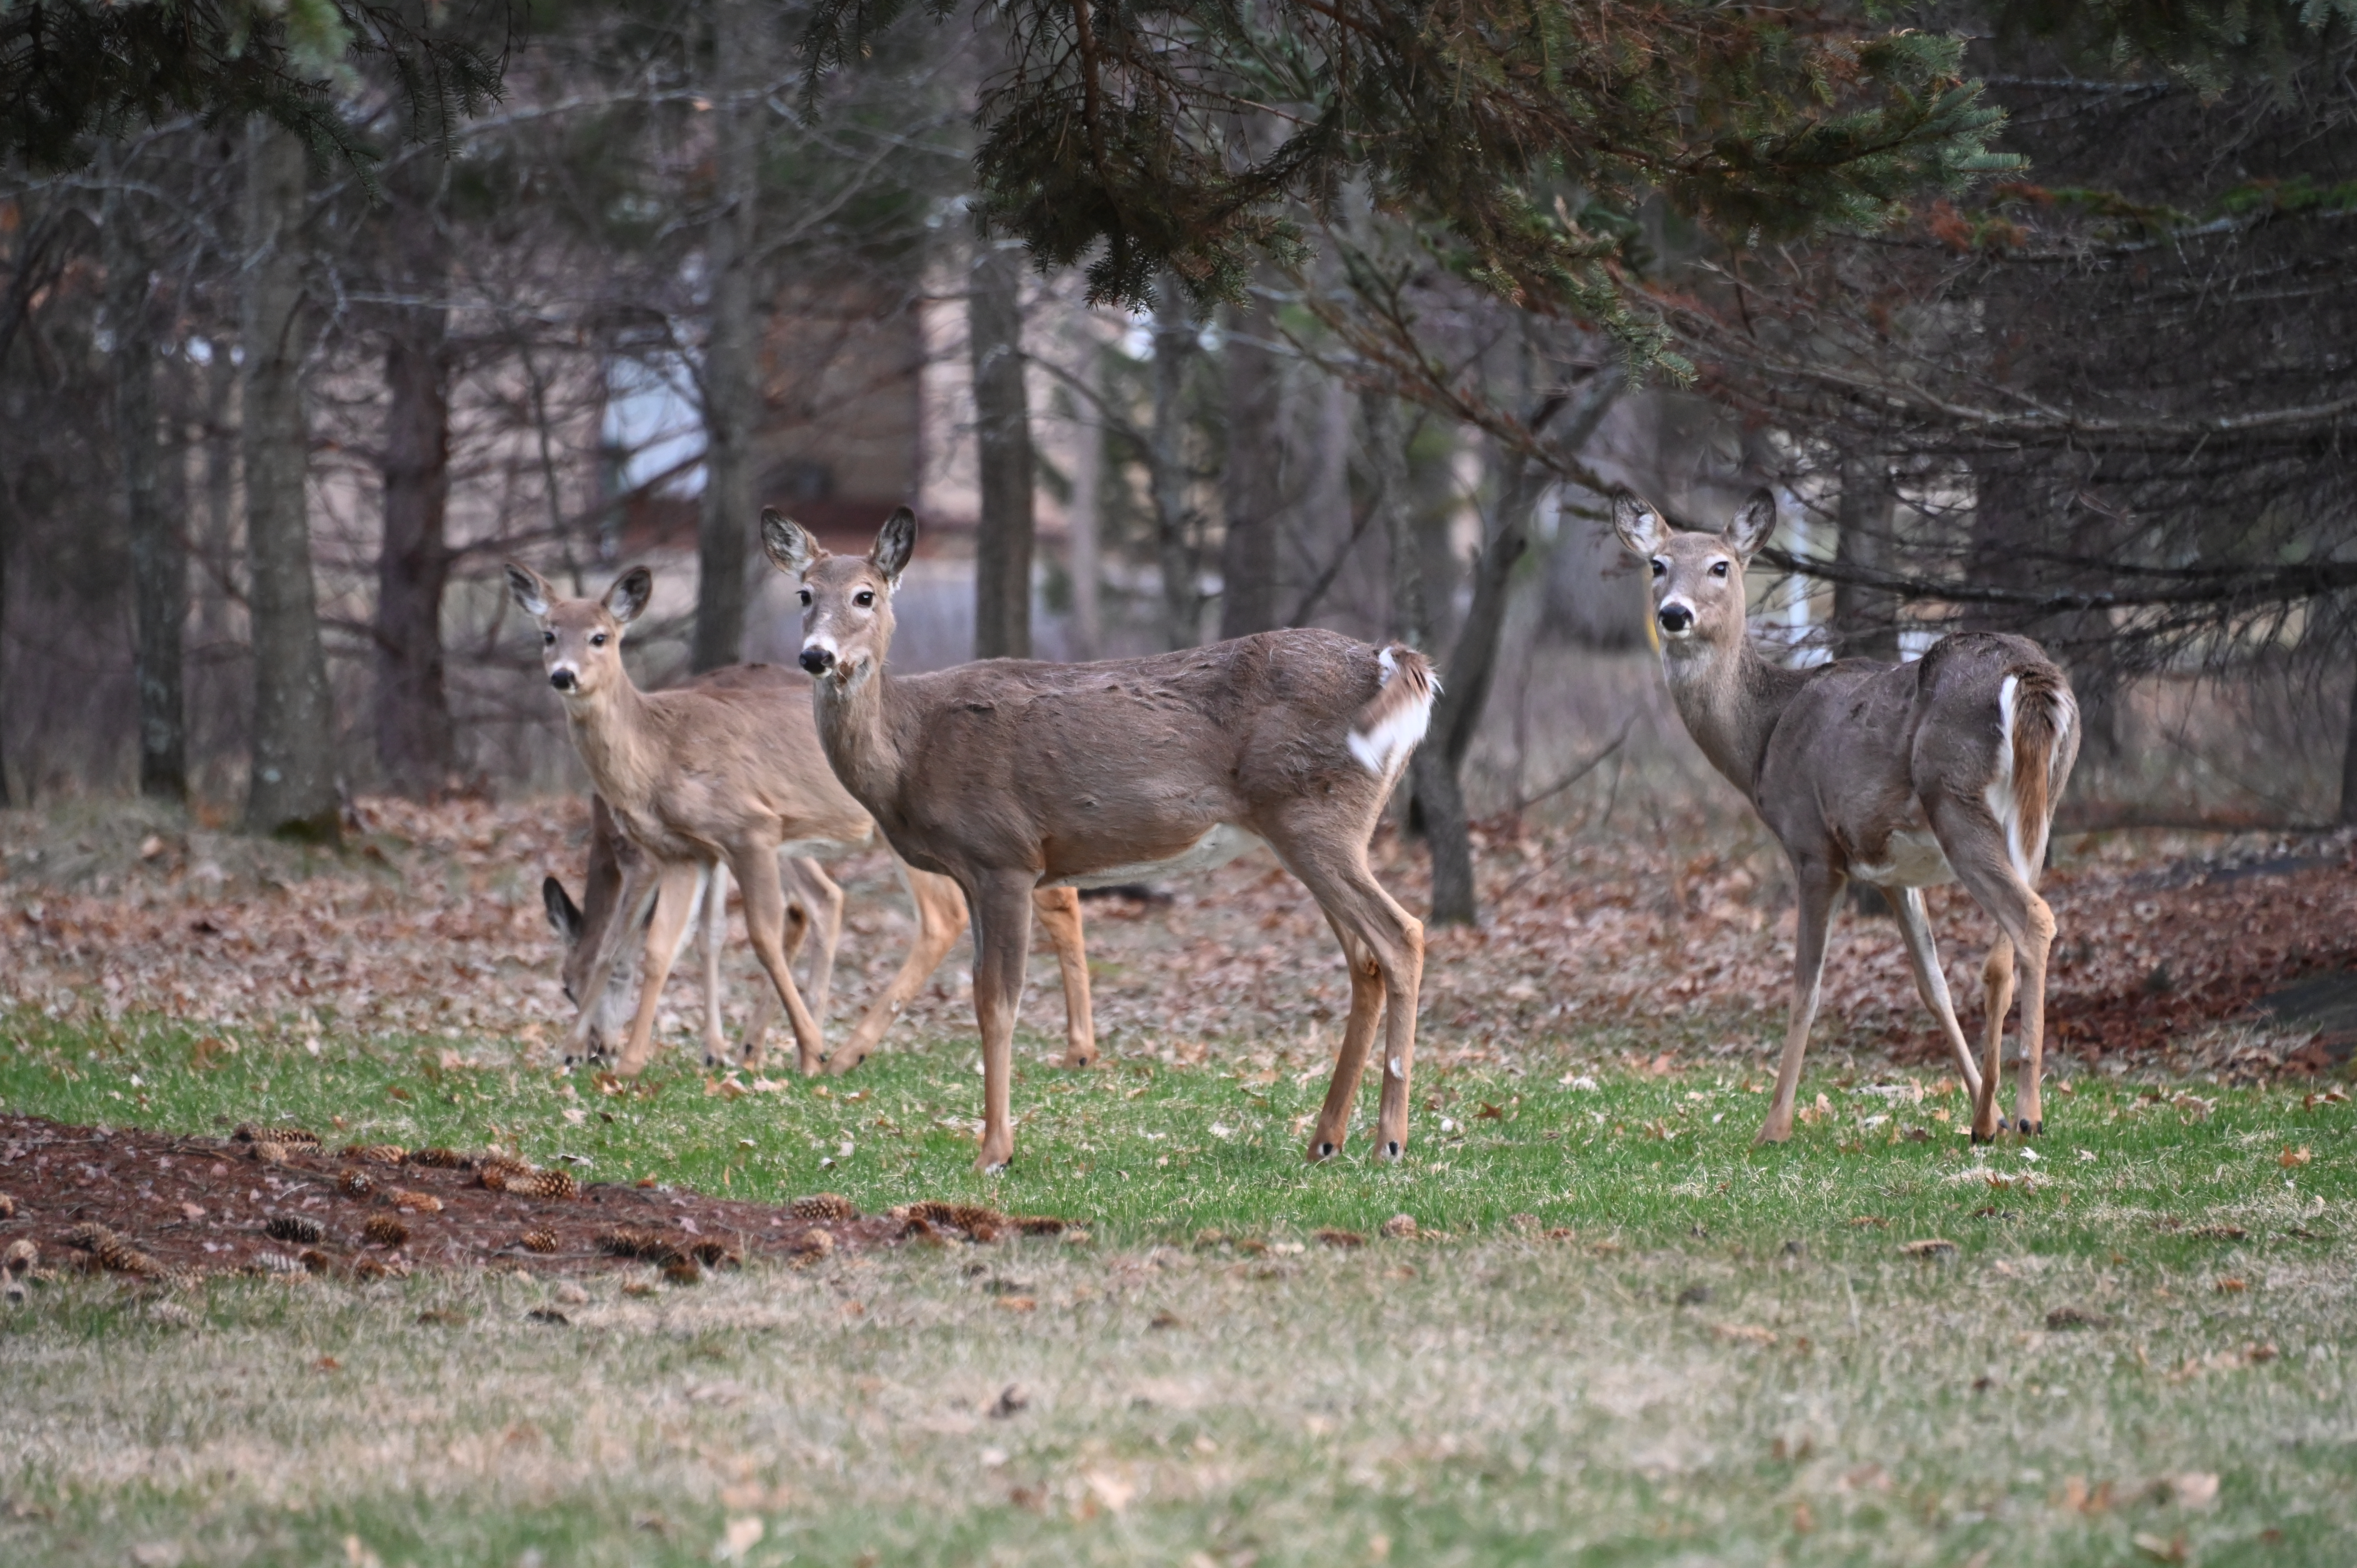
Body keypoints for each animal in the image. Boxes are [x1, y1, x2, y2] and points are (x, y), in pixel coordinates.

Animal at [504, 563, 1097, 1078]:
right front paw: (633, 1056)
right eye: (547, 635)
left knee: (937, 916)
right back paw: (1079, 1048)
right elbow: (665, 944)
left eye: (600, 637)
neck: (652, 753)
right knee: (1053, 893)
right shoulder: (693, 851)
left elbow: (666, 940)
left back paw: (841, 1050)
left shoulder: (730, 835)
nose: (563, 676)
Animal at [761, 505, 1437, 1173]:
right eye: (804, 593)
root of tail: (1395, 662)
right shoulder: (975, 870)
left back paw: (1390, 1142)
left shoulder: (1003, 855)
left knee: (1402, 935)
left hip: (1316, 817)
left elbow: (997, 1003)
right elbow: (984, 995)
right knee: (1365, 962)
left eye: (866, 595)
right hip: (1311, 829)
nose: (816, 656)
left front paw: (995, 1153)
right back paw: (1325, 1140)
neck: (910, 748)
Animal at [1614, 489, 2079, 1145]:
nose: (1675, 614)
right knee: (2002, 955)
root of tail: (2031, 680)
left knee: (2033, 921)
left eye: (1720, 566)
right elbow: (1933, 985)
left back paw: (2028, 1112)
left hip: (1956, 800)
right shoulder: (1892, 873)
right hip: (2041, 808)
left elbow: (1805, 990)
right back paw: (1992, 1116)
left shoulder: (1814, 848)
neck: (1763, 739)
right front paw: (1973, 1104)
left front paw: (1774, 1125)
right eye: (1656, 564)